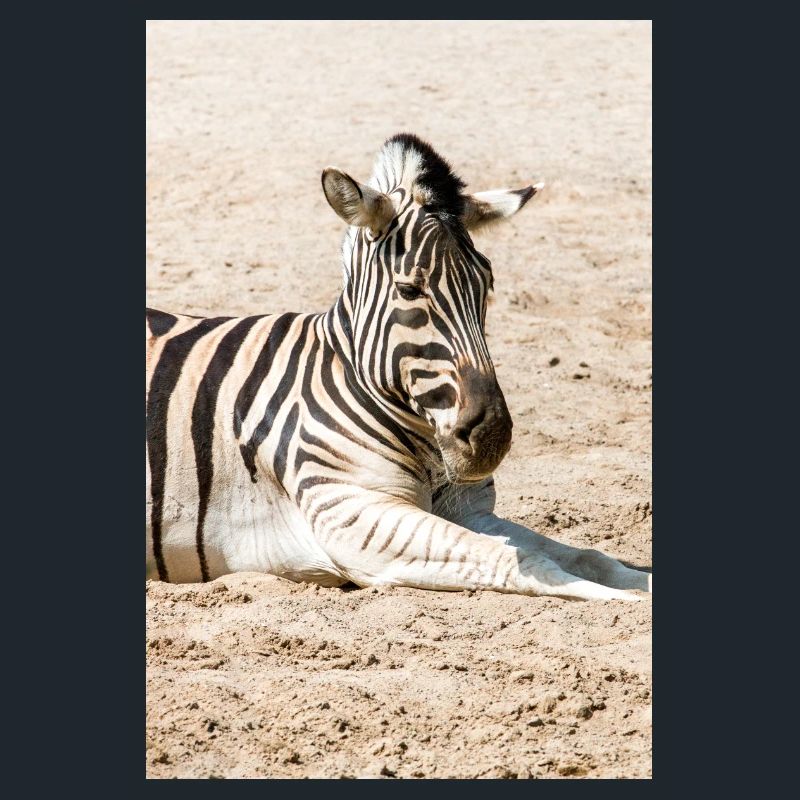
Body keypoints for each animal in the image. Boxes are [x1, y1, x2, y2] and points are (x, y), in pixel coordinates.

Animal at [146, 133, 651, 601]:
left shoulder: (470, 510)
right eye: (409, 290)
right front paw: (623, 602)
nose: (492, 437)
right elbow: (522, 560)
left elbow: (587, 556)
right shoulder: (353, 515)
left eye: (487, 285)